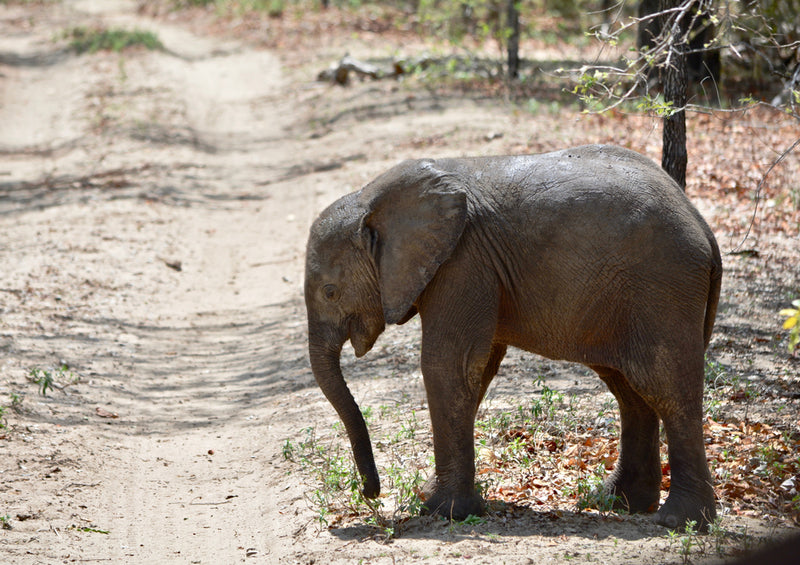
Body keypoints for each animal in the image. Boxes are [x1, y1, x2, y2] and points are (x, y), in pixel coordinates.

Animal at [304, 144, 720, 528]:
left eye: (330, 292)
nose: (370, 492)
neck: (370, 197)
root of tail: (702, 225)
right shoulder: (473, 267)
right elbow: (476, 370)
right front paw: (436, 499)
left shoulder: (462, 262)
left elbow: (448, 365)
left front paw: (442, 511)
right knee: (630, 389)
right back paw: (618, 502)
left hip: (662, 287)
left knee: (666, 386)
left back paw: (680, 521)